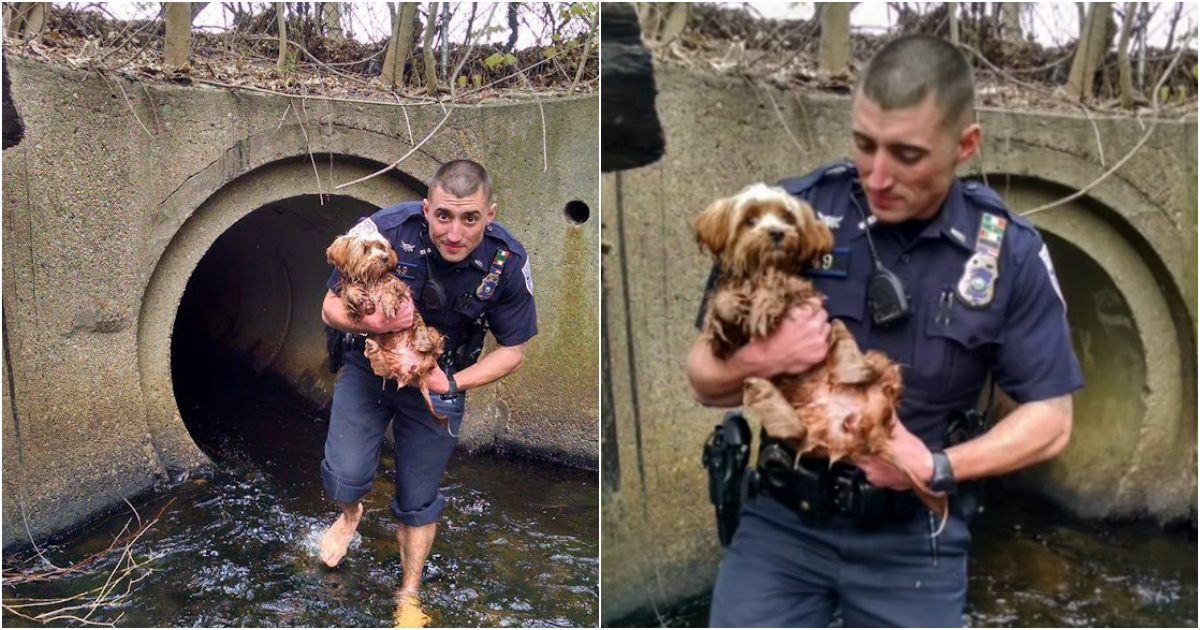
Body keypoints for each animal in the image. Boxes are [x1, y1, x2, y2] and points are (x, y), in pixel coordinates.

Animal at [328, 217, 451, 432]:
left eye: (382, 247)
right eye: (365, 248)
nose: (385, 258)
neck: (371, 278)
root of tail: (416, 371)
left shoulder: (398, 286)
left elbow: (391, 287)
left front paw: (386, 302)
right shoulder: (350, 290)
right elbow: (349, 293)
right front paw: (356, 297)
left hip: (432, 334)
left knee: (433, 345)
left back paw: (423, 342)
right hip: (387, 361)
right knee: (383, 368)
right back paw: (374, 350)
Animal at [696, 184, 945, 532]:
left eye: (787, 217)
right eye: (750, 219)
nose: (777, 233)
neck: (759, 268)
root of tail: (863, 429)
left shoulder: (804, 293)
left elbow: (781, 283)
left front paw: (765, 300)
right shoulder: (727, 344)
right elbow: (720, 315)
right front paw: (730, 304)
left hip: (875, 364)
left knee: (876, 370)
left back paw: (852, 367)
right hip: (805, 426)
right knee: (795, 430)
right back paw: (764, 391)